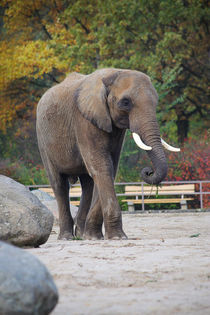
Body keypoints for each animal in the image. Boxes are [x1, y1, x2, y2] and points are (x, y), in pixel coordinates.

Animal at [36, 69, 180, 241]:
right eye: (125, 102)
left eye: (156, 102)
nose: (148, 171)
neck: (114, 73)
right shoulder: (84, 121)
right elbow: (102, 167)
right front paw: (117, 237)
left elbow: (109, 169)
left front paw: (94, 237)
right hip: (43, 139)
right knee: (59, 184)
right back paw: (66, 237)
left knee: (88, 184)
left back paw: (81, 235)